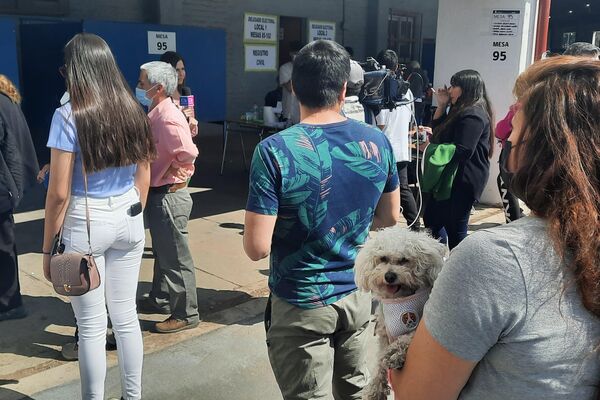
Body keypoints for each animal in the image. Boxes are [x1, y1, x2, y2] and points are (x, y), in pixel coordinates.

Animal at [356, 225, 446, 400]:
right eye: (383, 258)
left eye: (404, 260)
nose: (389, 276)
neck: (400, 300)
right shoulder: (384, 334)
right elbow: (379, 361)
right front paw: (375, 388)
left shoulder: (418, 325)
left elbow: (407, 337)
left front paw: (395, 353)